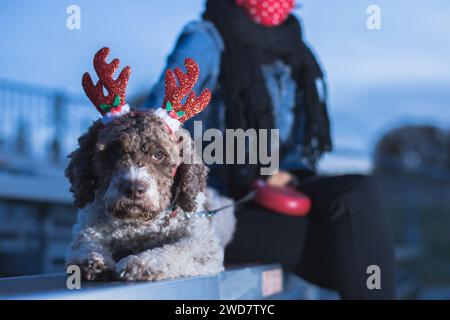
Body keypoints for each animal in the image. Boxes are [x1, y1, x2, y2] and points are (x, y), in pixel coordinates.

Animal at [67, 47, 237, 280]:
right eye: (114, 150)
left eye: (158, 154)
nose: (133, 188)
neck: (140, 227)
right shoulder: (88, 226)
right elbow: (84, 243)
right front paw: (91, 261)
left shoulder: (202, 242)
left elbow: (175, 251)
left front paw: (140, 263)